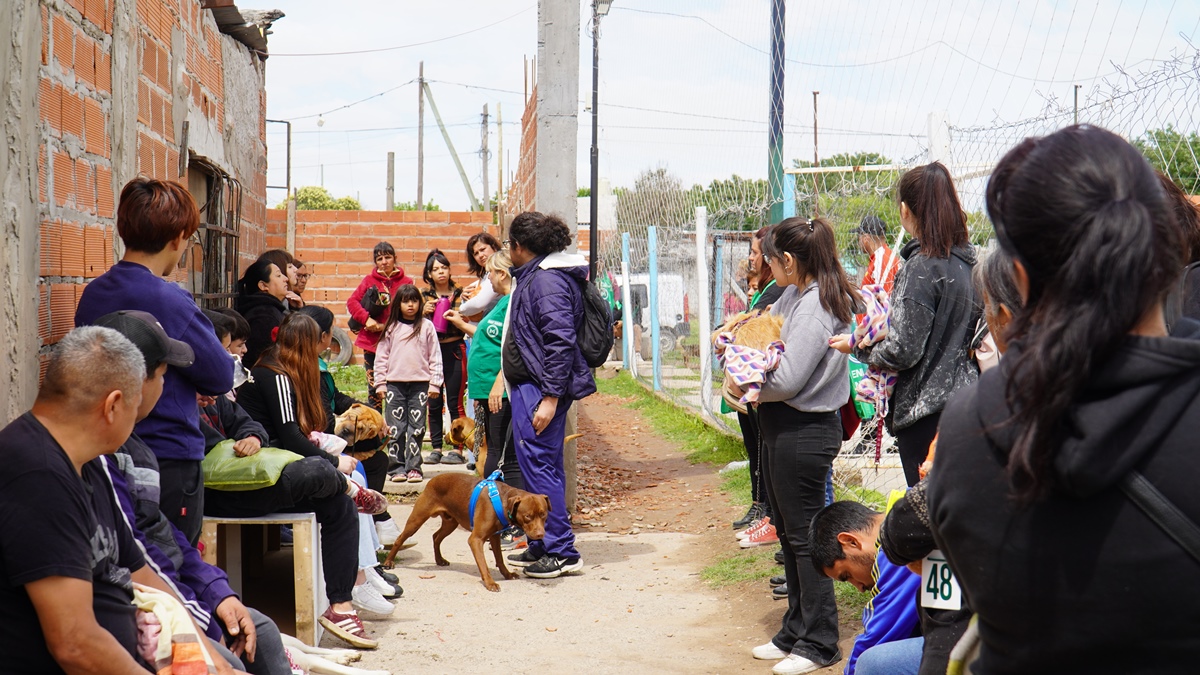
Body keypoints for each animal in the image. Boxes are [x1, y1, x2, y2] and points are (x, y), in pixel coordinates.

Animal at [380, 472, 551, 592]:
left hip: (451, 522)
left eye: (543, 515)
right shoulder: (476, 539)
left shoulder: (494, 537)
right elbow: (483, 564)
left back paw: (439, 560)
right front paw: (490, 582)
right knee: (400, 538)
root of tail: (432, 480)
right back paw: (388, 562)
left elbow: (500, 559)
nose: (540, 534)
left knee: (436, 537)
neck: (502, 499)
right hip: (417, 519)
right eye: (528, 516)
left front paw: (507, 574)